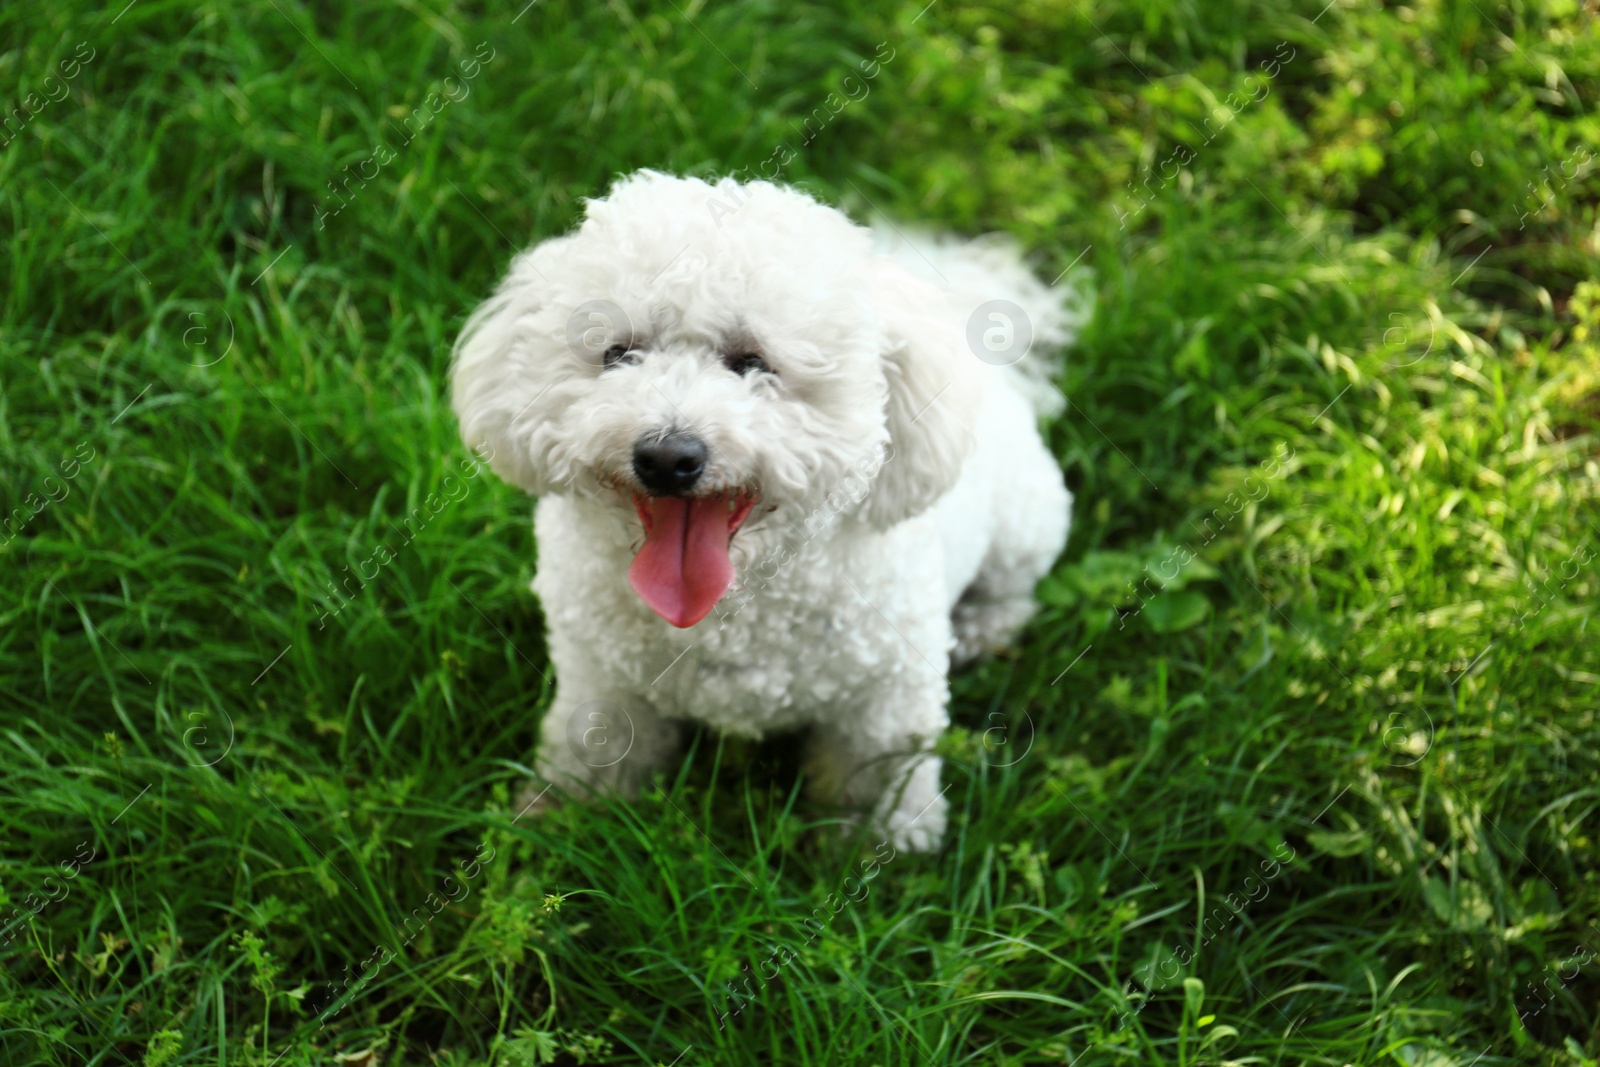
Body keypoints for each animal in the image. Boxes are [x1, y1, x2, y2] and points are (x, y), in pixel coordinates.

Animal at [448, 168, 1075, 851]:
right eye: (618, 354)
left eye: (753, 364)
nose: (667, 457)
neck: (731, 609)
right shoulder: (601, 677)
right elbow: (598, 747)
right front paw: (566, 817)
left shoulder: (885, 699)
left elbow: (878, 777)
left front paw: (883, 847)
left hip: (1025, 524)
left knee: (1012, 588)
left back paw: (985, 628)